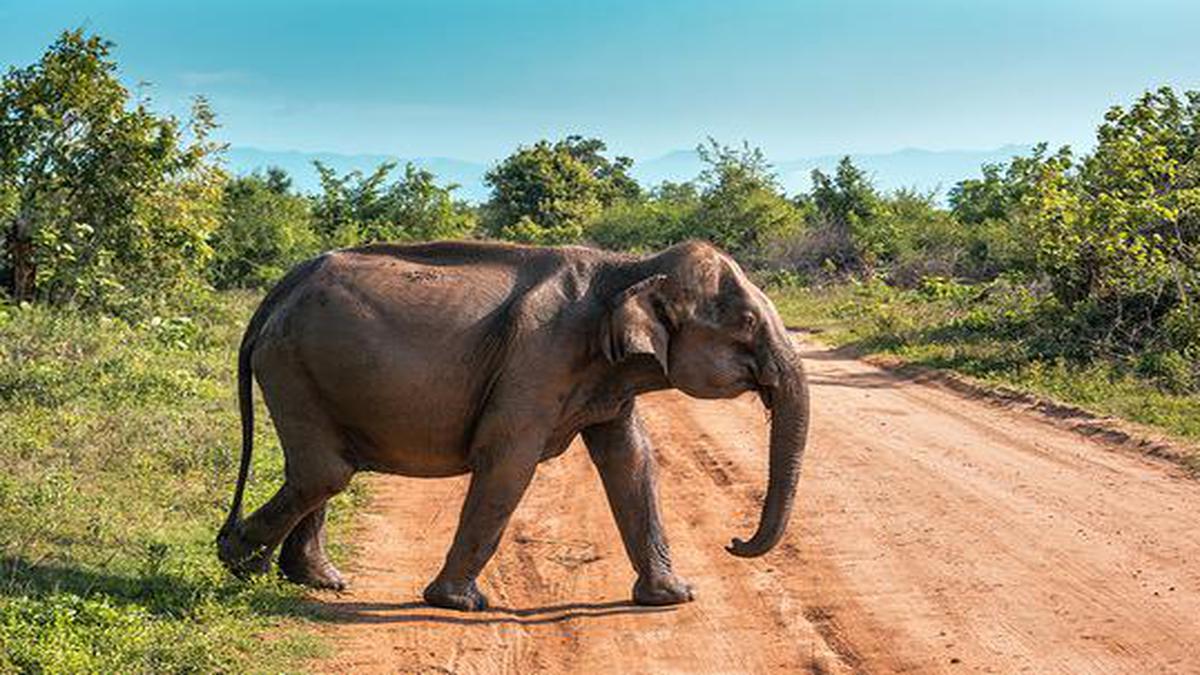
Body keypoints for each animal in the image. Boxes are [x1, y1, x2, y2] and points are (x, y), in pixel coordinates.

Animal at [219, 237, 811, 610]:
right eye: (747, 323)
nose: (734, 541)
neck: (627, 268)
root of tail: (280, 290)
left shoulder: (606, 377)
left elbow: (631, 460)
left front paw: (672, 597)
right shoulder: (537, 362)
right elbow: (508, 462)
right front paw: (460, 603)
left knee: (325, 470)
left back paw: (318, 580)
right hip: (292, 365)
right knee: (324, 473)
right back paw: (238, 561)